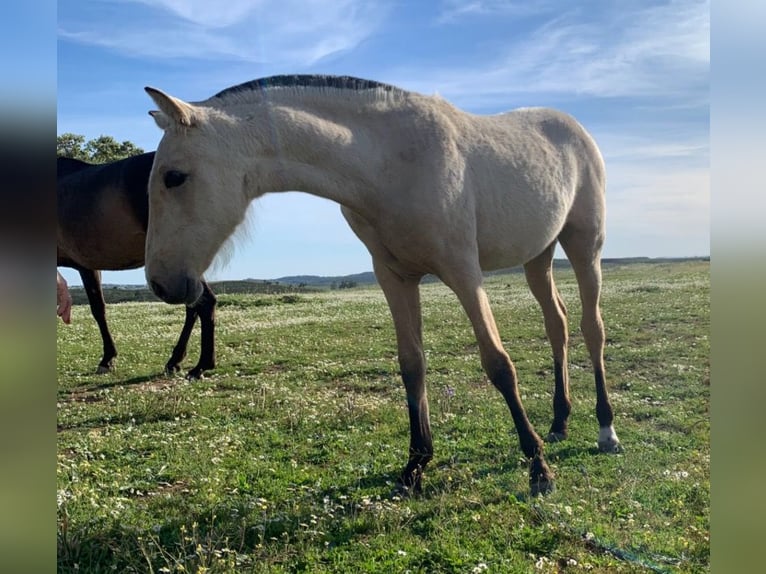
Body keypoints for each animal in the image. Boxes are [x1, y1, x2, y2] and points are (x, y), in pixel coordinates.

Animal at [57, 152, 217, 379]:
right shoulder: (89, 266)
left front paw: (107, 359)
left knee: (205, 303)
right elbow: (99, 309)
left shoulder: (84, 266)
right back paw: (176, 360)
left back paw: (201, 366)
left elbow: (97, 309)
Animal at [142, 74, 622, 496]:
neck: (390, 162)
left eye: (174, 177)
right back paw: (559, 423)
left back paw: (605, 429)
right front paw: (414, 467)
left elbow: (499, 364)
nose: (161, 283)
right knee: (557, 324)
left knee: (591, 329)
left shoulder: (464, 272)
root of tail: (576, 129)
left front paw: (538, 469)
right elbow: (412, 366)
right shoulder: (394, 277)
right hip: (537, 257)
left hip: (585, 248)